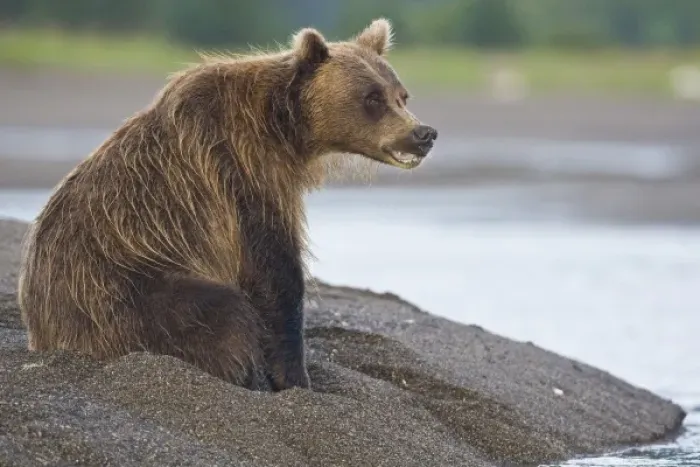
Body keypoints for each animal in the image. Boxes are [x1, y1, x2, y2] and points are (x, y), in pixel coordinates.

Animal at [17, 18, 438, 391]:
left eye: (402, 95)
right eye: (372, 98)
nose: (424, 133)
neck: (284, 127)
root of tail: (42, 335)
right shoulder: (240, 171)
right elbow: (274, 272)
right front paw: (295, 379)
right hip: (122, 293)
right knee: (220, 312)